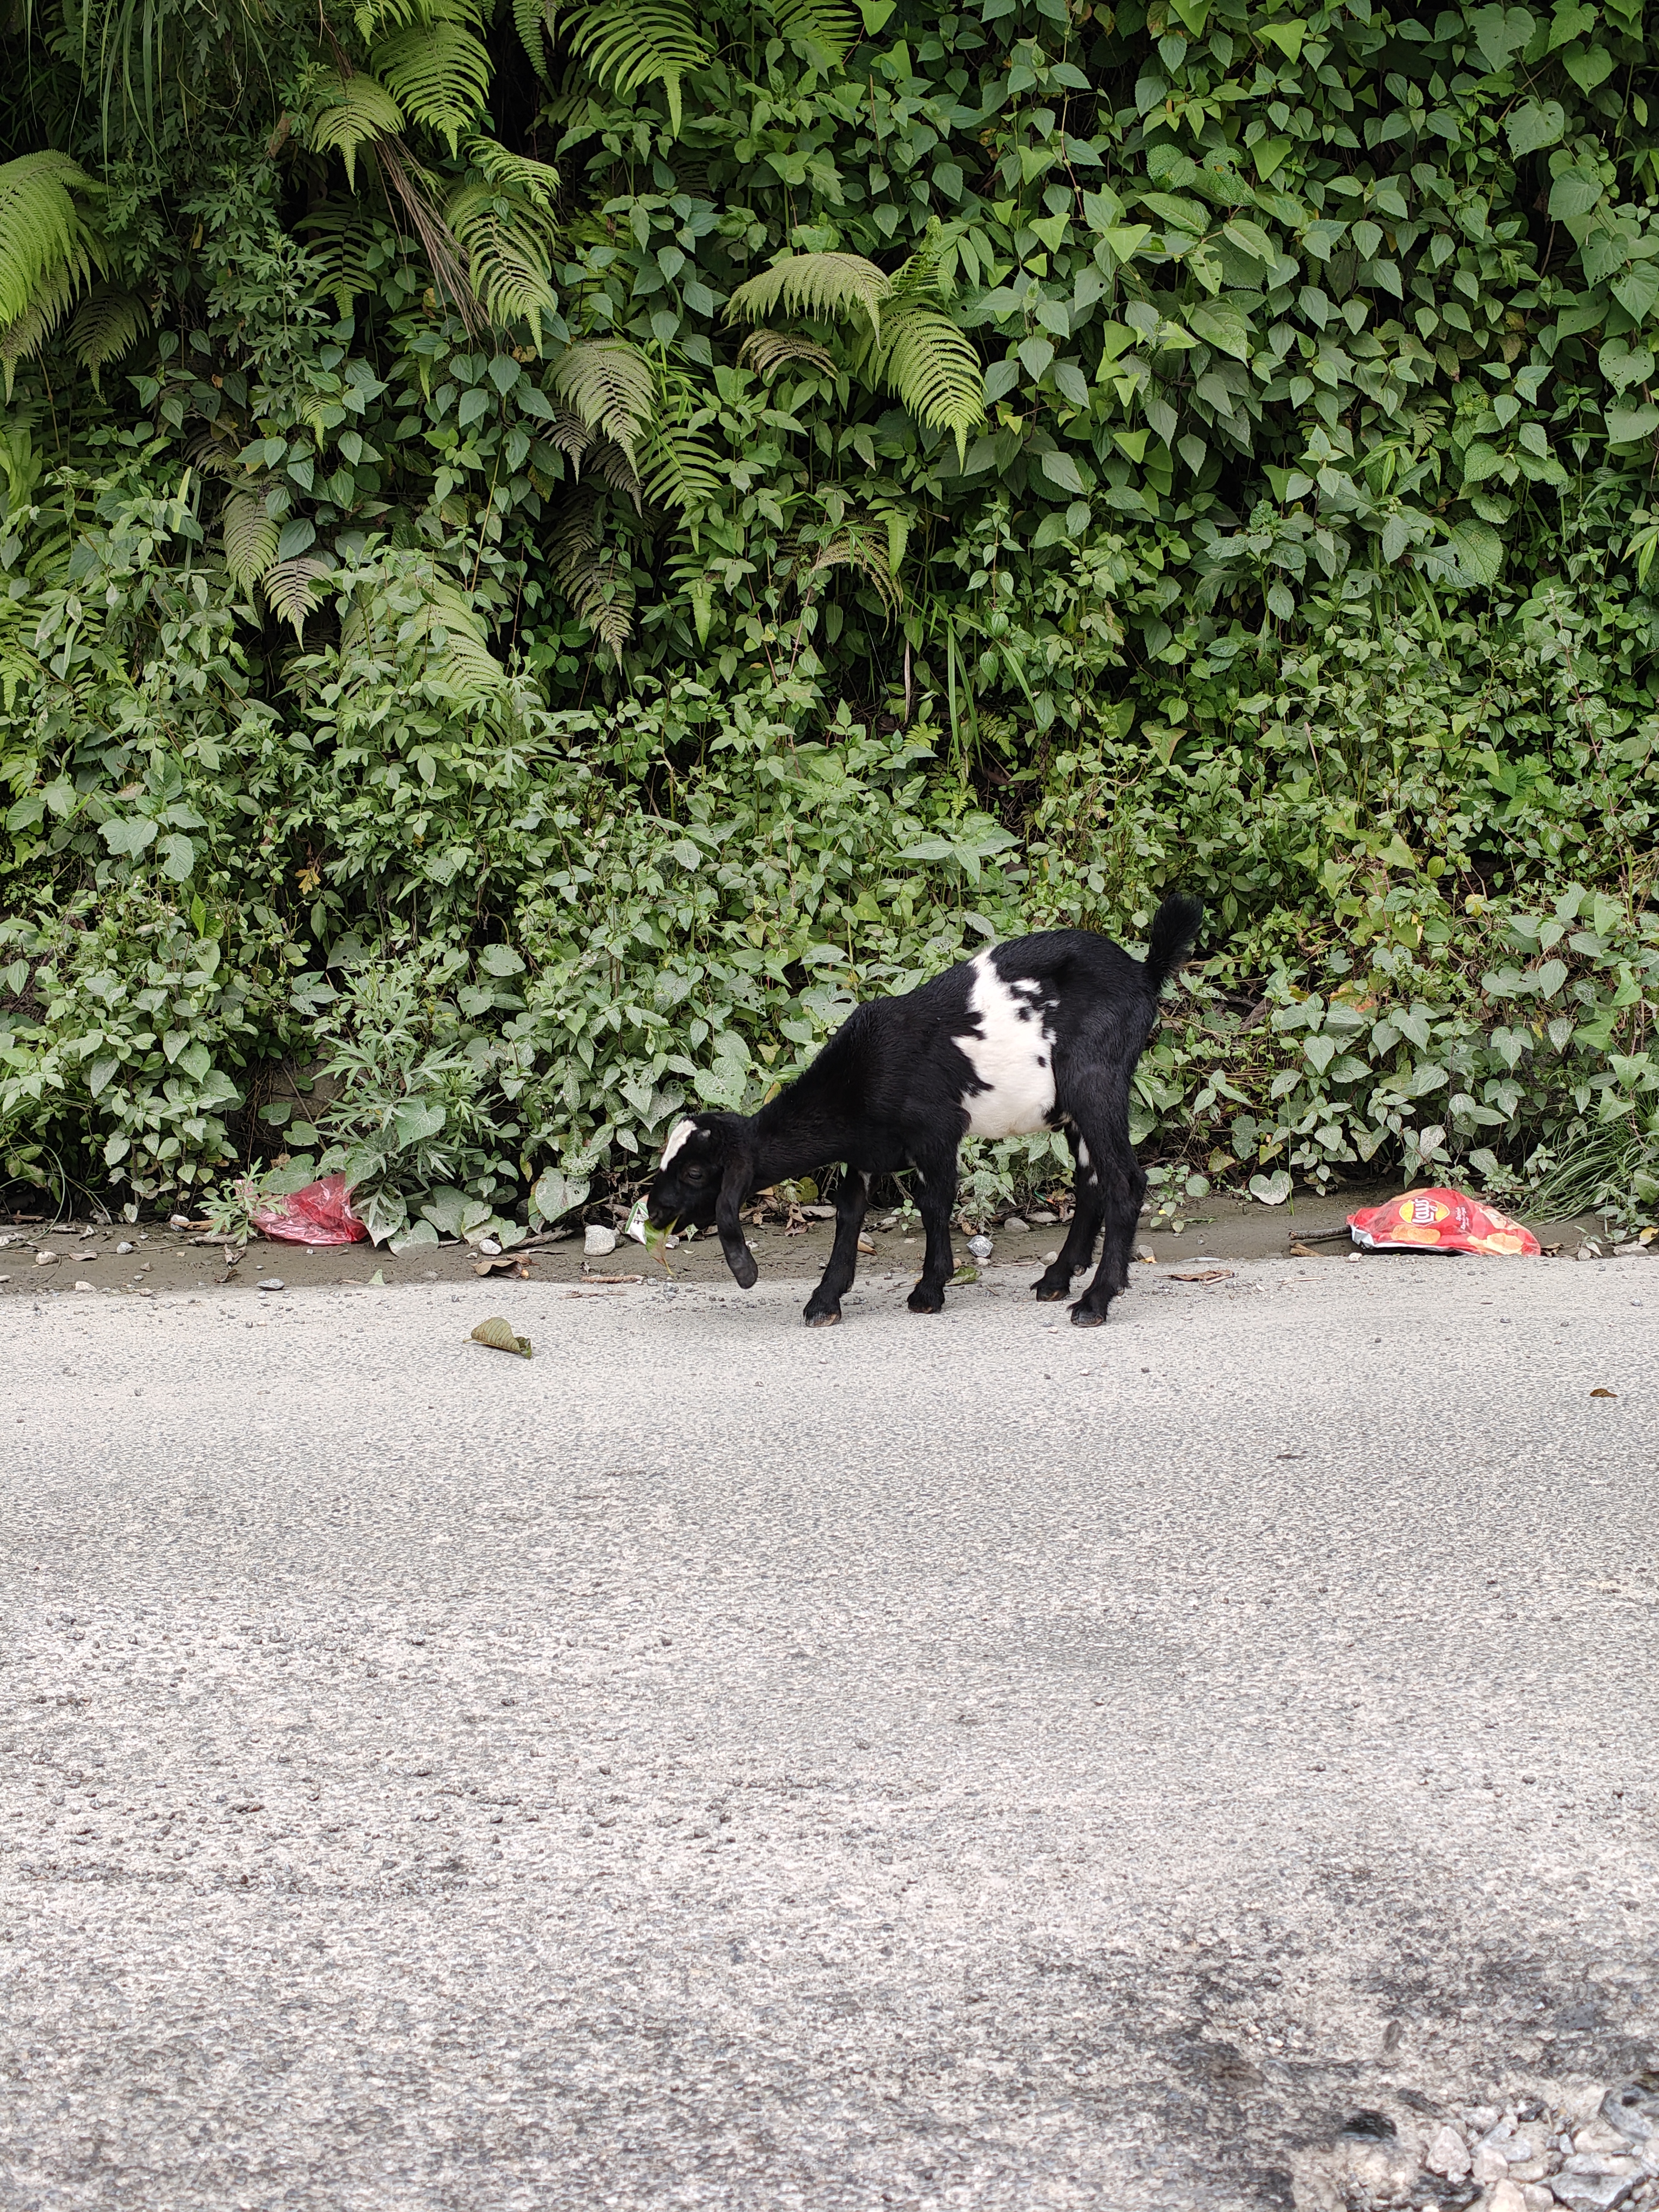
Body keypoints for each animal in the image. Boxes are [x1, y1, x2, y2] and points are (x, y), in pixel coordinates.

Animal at [647, 892, 1203, 1328]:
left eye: (695, 1172)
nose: (654, 1211)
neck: (861, 1074)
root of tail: (1144, 972)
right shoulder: (866, 1150)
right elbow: (849, 1212)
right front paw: (826, 1299)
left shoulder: (937, 1132)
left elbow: (933, 1202)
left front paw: (929, 1291)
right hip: (1070, 1106)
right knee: (1090, 1178)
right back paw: (1058, 1279)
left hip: (1096, 1079)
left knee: (1124, 1180)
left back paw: (1096, 1300)